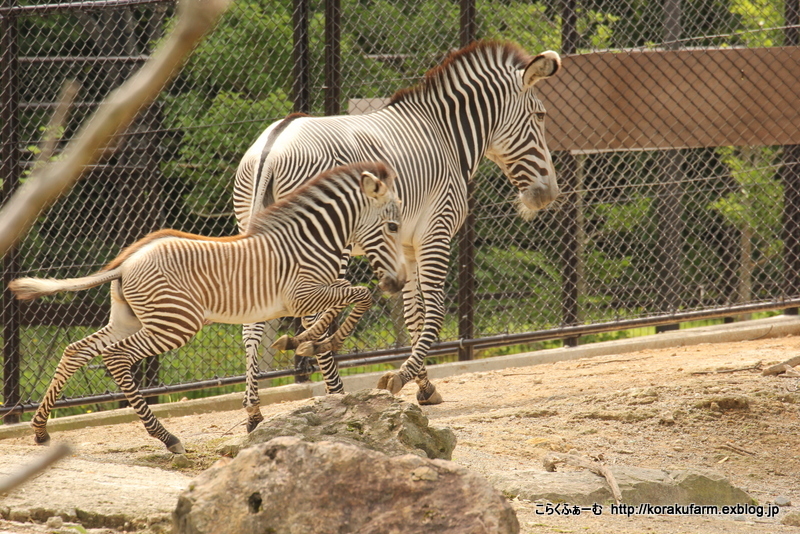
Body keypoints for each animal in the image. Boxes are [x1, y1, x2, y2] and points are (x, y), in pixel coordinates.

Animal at [8, 163, 404, 456]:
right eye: (393, 226)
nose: (397, 283)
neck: (311, 240)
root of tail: (126, 263)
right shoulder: (303, 294)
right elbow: (360, 296)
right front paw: (321, 342)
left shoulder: (310, 293)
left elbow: (343, 305)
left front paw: (302, 341)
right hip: (175, 322)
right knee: (117, 357)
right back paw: (167, 438)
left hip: (130, 319)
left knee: (76, 351)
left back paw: (40, 430)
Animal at [238, 39, 564, 412]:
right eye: (540, 115)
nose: (548, 194)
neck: (446, 136)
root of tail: (273, 145)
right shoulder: (436, 229)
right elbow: (434, 310)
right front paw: (403, 376)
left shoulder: (407, 243)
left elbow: (413, 315)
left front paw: (424, 386)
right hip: (325, 237)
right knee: (310, 309)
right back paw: (334, 389)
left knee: (253, 322)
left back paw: (254, 408)